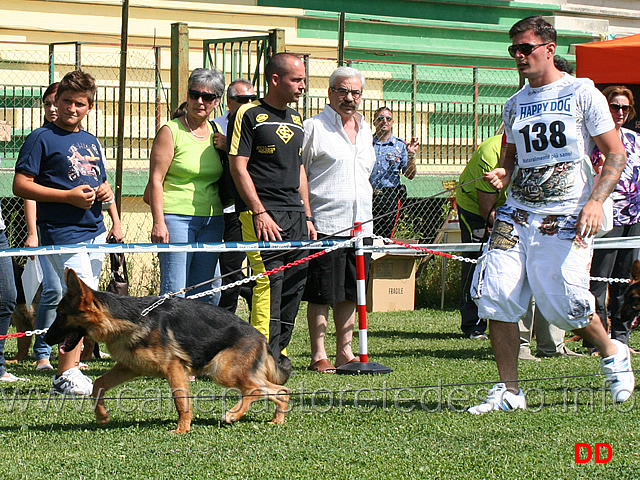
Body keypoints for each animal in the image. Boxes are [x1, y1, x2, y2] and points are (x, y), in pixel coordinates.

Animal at [45, 270, 292, 432]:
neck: (129, 320)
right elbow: (98, 384)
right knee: (281, 391)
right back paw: (277, 420)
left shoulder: (174, 369)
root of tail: (261, 338)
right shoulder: (129, 368)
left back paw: (233, 414)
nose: (45, 338)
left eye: (61, 314)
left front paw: (182, 429)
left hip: (222, 370)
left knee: (255, 389)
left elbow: (181, 400)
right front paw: (102, 415)